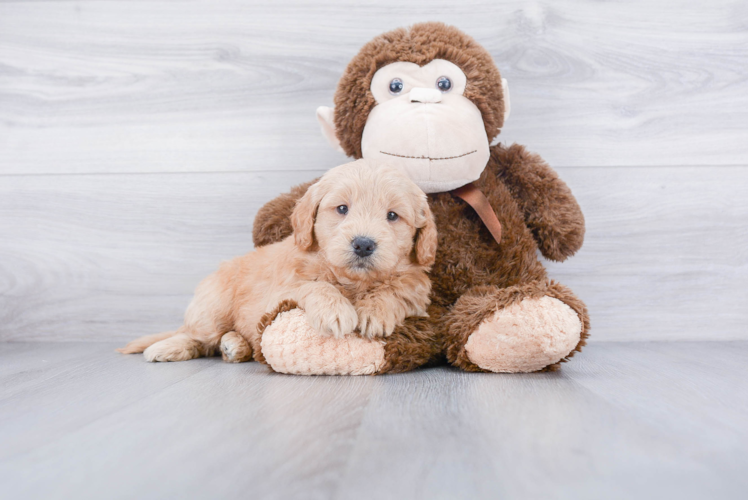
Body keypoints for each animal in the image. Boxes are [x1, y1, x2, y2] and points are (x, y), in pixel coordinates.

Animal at [118, 160, 438, 364]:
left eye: (393, 216)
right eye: (342, 209)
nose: (363, 244)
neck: (352, 281)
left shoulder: (418, 287)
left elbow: (398, 287)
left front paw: (375, 311)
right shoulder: (281, 291)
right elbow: (315, 286)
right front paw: (335, 310)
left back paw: (235, 346)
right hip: (212, 307)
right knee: (196, 335)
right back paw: (169, 346)